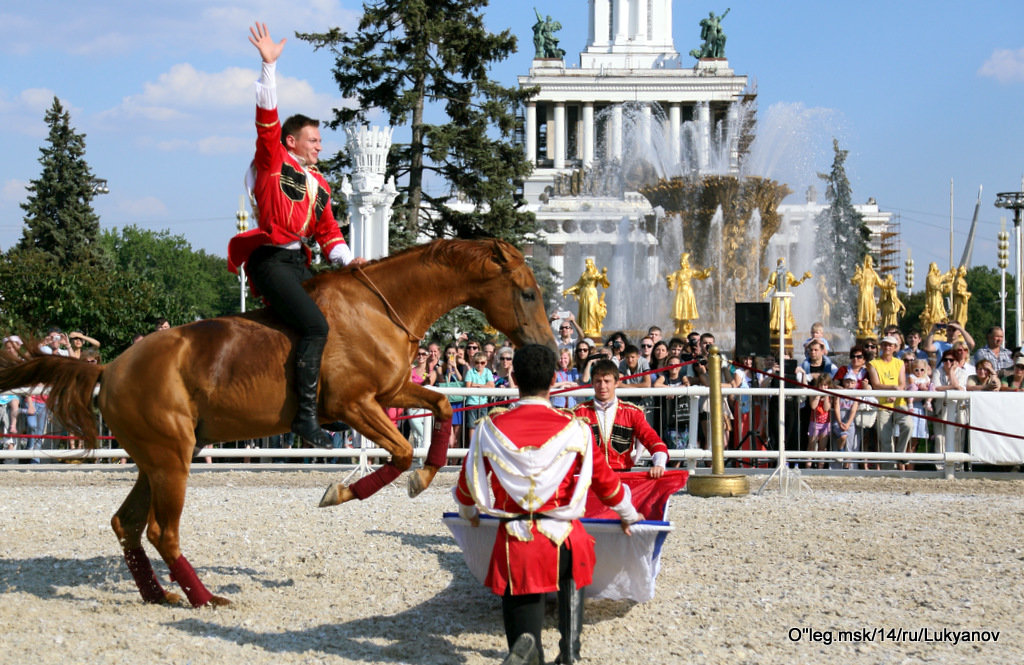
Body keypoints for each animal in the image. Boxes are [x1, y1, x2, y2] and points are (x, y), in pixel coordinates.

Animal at [0, 239, 557, 606]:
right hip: (170, 461)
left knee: (128, 525)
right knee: (162, 531)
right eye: (528, 293)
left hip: (156, 461)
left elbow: (439, 407)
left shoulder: (392, 393)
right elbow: (398, 452)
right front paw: (343, 491)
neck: (379, 310)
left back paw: (161, 595)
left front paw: (425, 474)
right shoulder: (356, 405)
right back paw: (205, 598)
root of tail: (109, 368)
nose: (549, 353)